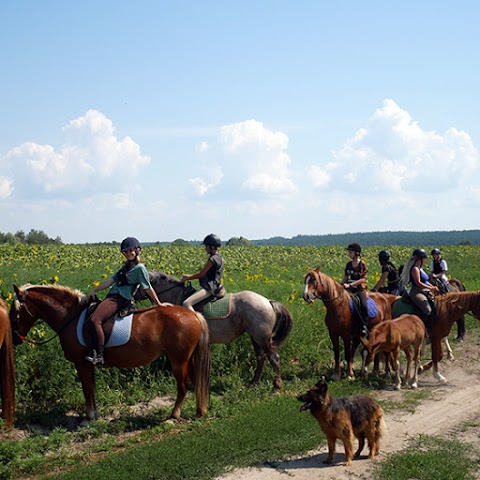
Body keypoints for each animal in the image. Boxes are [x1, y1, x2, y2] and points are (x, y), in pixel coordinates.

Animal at [9, 284, 210, 422]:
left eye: (14, 311)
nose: (14, 338)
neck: (70, 317)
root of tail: (193, 315)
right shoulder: (88, 364)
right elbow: (92, 388)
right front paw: (95, 415)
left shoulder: (81, 363)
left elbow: (87, 389)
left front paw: (88, 418)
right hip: (189, 359)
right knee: (195, 382)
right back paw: (199, 411)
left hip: (178, 360)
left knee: (183, 385)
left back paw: (174, 415)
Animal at [135, 270, 292, 390]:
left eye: (136, 282)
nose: (130, 298)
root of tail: (268, 301)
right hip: (255, 337)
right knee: (261, 357)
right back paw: (254, 382)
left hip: (261, 337)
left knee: (273, 357)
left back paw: (277, 384)